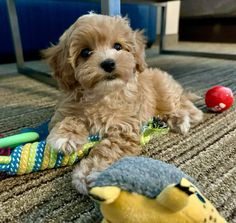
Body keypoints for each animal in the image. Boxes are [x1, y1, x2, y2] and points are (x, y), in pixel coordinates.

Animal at [44, 14, 203, 195]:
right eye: (85, 52)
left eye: (117, 46)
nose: (108, 63)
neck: (103, 94)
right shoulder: (66, 108)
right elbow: (70, 118)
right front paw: (66, 136)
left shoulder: (125, 127)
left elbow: (111, 148)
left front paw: (91, 171)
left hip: (164, 90)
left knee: (179, 102)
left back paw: (188, 116)